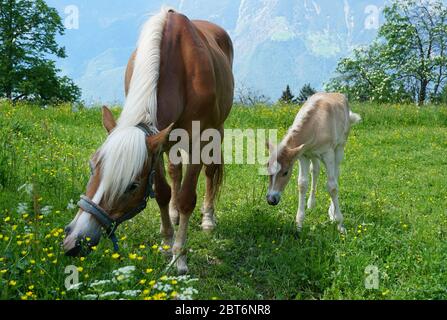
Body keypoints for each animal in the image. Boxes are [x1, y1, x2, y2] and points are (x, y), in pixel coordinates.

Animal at [65, 6, 238, 276]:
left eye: (132, 186)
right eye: (92, 167)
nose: (75, 240)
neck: (180, 67)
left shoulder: (197, 141)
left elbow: (188, 197)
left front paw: (179, 257)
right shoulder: (157, 143)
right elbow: (163, 192)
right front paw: (167, 243)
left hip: (215, 131)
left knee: (210, 172)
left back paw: (208, 218)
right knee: (175, 171)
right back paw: (174, 215)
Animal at [268, 94, 362, 234]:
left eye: (285, 172)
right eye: (268, 171)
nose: (271, 199)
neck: (316, 124)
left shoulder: (328, 153)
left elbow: (332, 186)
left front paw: (339, 223)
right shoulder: (303, 155)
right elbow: (302, 184)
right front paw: (299, 225)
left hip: (339, 147)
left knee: (336, 173)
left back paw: (332, 212)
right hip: (313, 155)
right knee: (315, 170)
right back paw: (311, 204)